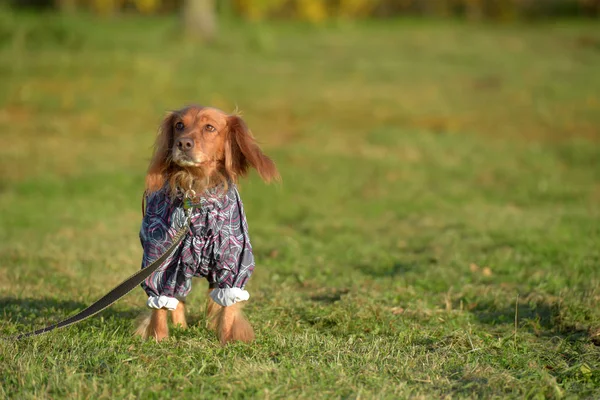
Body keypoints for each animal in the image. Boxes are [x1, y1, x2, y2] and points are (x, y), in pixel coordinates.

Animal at [134, 105, 278, 344]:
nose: (183, 143)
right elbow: (160, 305)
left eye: (209, 127)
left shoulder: (234, 261)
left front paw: (226, 341)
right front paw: (159, 339)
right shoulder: (161, 261)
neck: (197, 189)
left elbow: (227, 308)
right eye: (179, 125)